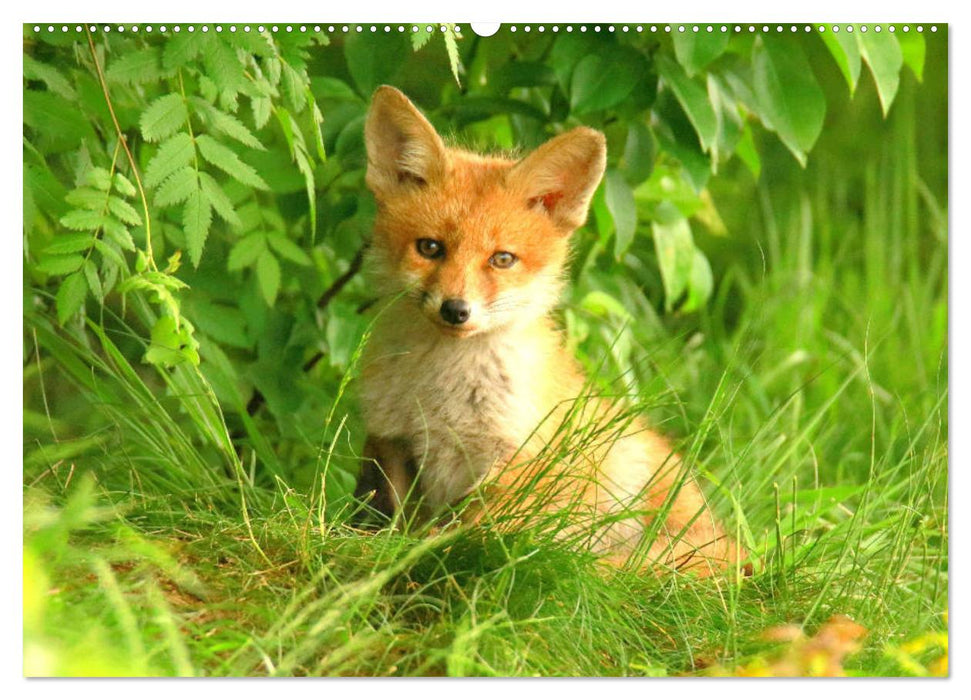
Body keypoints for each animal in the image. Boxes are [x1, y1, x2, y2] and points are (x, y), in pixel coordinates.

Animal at [354, 86, 748, 576]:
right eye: (429, 248)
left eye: (502, 259)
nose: (456, 310)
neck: (440, 394)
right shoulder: (392, 440)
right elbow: (394, 518)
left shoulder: (516, 461)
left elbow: (465, 533)